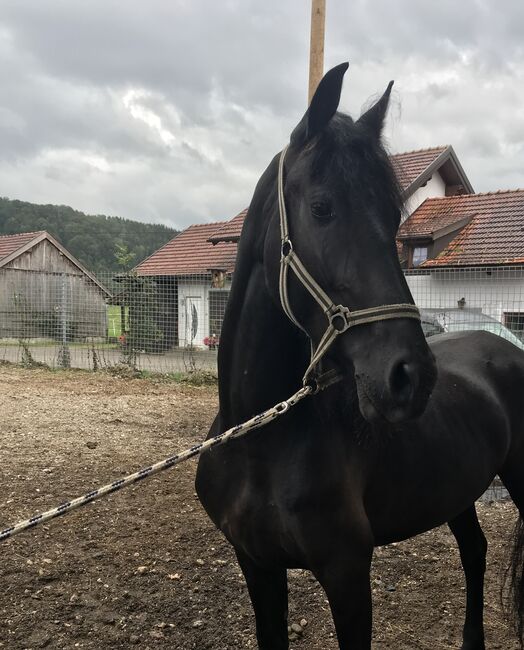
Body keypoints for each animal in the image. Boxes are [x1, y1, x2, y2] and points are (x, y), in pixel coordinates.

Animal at [195, 62, 524, 648]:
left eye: (395, 220)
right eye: (322, 208)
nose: (411, 377)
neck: (261, 442)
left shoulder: (347, 575)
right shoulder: (257, 565)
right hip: (457, 488)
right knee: (474, 551)